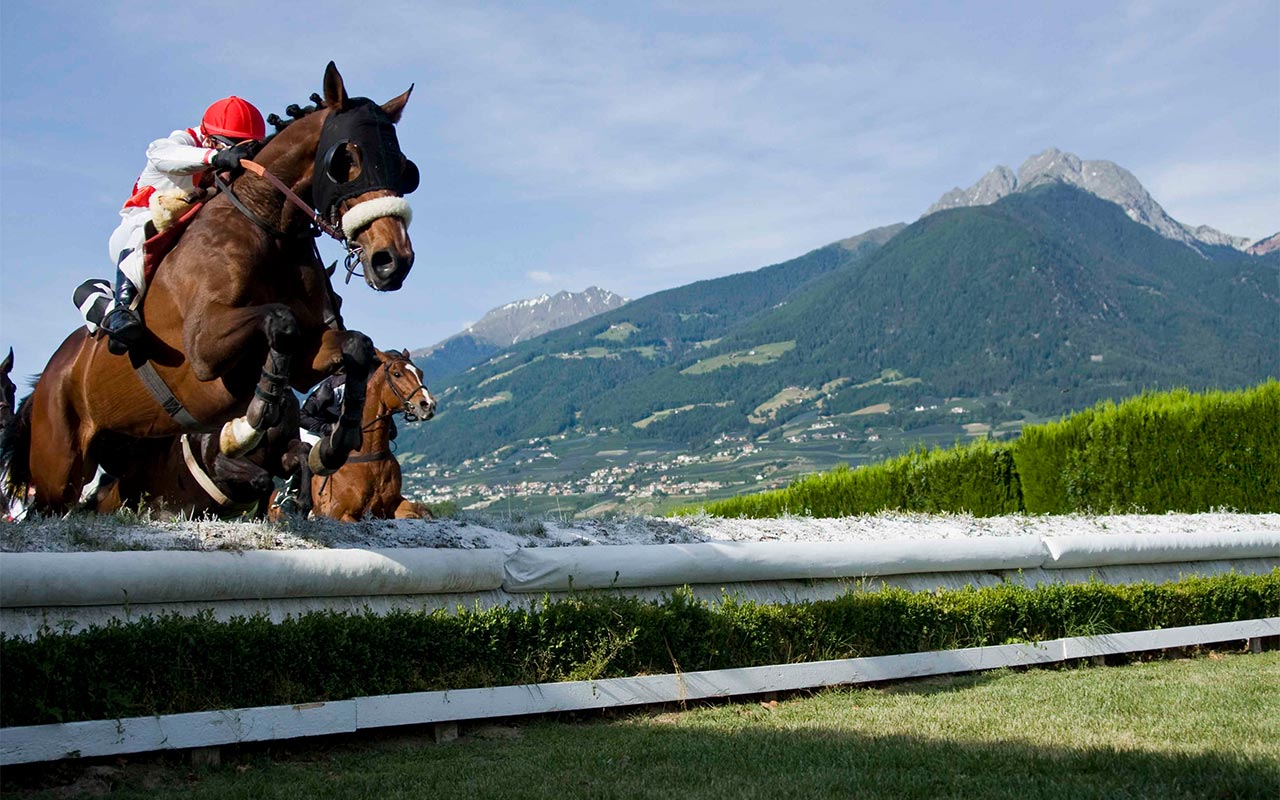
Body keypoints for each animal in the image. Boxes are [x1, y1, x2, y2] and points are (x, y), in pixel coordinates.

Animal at [2, 62, 417, 512]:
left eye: (404, 167)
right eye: (346, 160)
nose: (393, 260)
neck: (265, 223)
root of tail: (47, 377)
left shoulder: (308, 358)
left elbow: (354, 346)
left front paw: (335, 442)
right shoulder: (204, 348)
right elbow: (280, 320)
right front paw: (249, 424)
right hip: (57, 468)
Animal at [308, 348, 435, 522]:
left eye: (420, 373)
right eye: (397, 374)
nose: (428, 405)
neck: (370, 457)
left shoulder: (393, 505)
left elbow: (419, 511)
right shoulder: (339, 514)